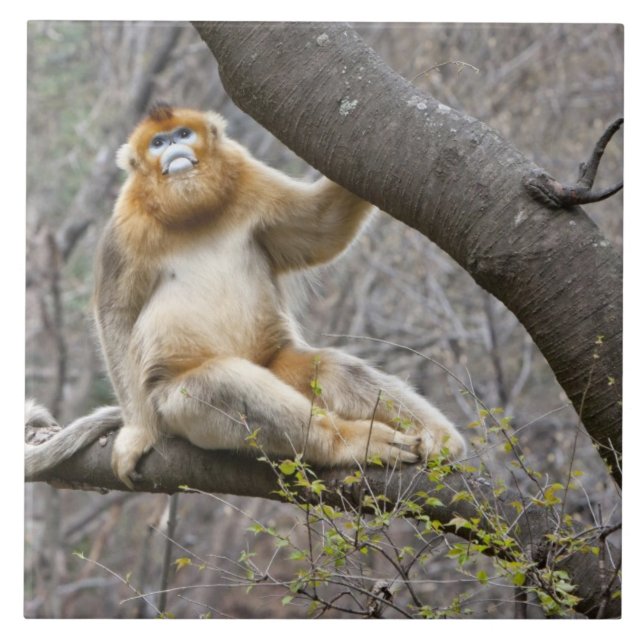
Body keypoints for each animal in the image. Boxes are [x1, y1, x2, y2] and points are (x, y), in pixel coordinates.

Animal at [27, 103, 466, 488]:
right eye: (158, 142)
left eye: (183, 134)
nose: (173, 150)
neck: (192, 211)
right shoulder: (124, 225)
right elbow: (115, 314)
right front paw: (137, 434)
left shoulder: (250, 177)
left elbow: (322, 228)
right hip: (170, 408)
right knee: (221, 383)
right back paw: (351, 441)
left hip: (275, 361)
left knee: (332, 369)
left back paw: (438, 437)